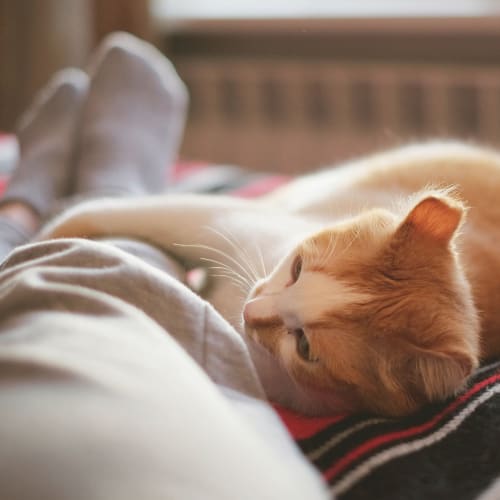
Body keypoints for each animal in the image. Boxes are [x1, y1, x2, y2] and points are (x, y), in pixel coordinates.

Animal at [36, 142, 500, 418]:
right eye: (296, 268)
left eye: (305, 347)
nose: (251, 310)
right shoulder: (218, 219)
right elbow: (95, 214)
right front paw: (42, 240)